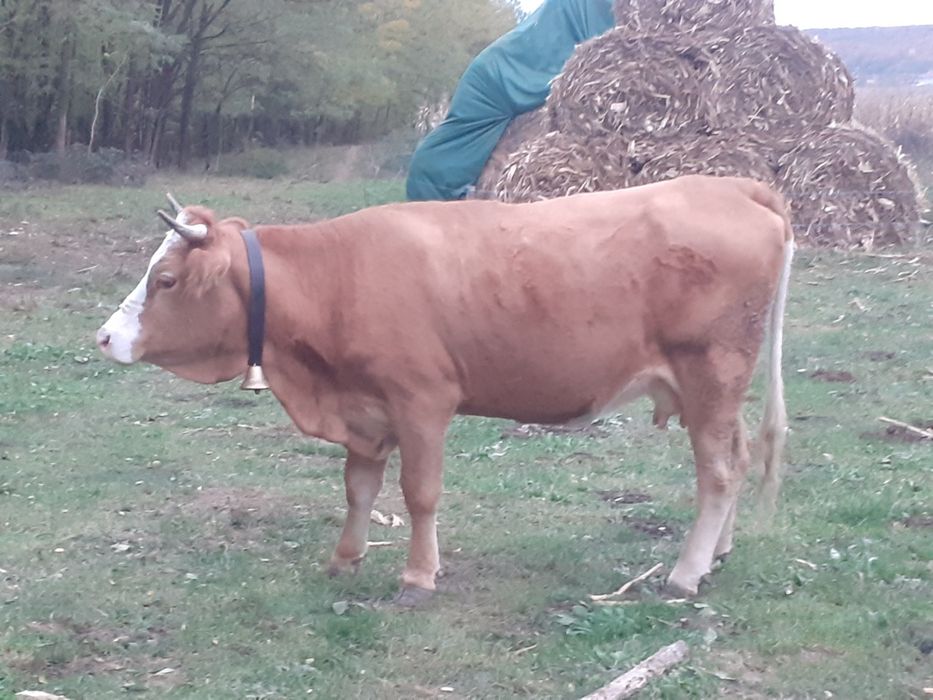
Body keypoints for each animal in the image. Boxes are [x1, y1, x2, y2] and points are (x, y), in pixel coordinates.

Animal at [97, 175, 793, 605]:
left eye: (164, 280)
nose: (105, 337)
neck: (337, 277)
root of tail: (733, 185)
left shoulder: (422, 401)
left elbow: (419, 493)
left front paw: (418, 576)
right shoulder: (365, 410)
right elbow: (359, 488)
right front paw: (345, 559)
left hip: (712, 372)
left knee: (719, 473)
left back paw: (685, 573)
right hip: (717, 389)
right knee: (735, 460)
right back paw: (717, 554)